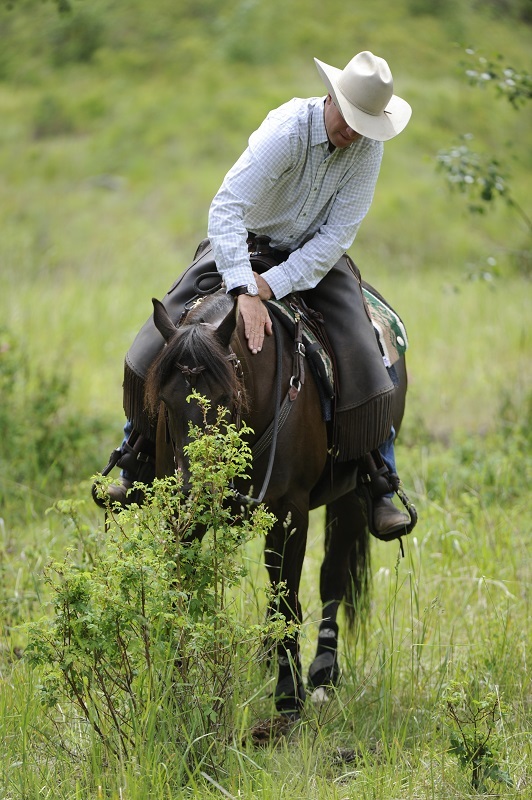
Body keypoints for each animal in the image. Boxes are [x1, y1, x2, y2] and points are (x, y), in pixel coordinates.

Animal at [144, 289, 410, 717]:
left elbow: (290, 596)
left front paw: (289, 695)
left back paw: (323, 671)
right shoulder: (182, 517)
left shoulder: (289, 510)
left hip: (350, 497)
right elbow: (180, 592)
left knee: (331, 574)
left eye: (225, 397)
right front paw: (175, 690)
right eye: (166, 400)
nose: (200, 490)